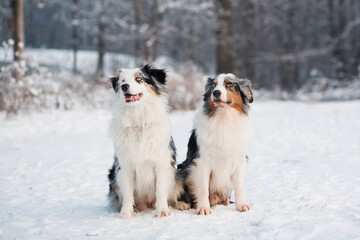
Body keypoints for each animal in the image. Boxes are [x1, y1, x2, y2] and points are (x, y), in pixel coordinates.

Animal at [108, 64, 190, 218]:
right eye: (122, 81)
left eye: (139, 79)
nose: (124, 87)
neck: (138, 121)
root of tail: (147, 203)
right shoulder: (124, 166)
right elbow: (128, 194)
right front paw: (126, 213)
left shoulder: (161, 163)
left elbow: (161, 190)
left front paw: (162, 210)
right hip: (113, 177)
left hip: (177, 175)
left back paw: (181, 204)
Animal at [179, 73, 255, 216]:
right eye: (213, 85)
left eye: (229, 84)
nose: (216, 93)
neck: (224, 118)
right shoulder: (202, 161)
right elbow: (203, 188)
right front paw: (203, 208)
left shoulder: (239, 160)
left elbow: (239, 186)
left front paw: (241, 205)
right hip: (182, 169)